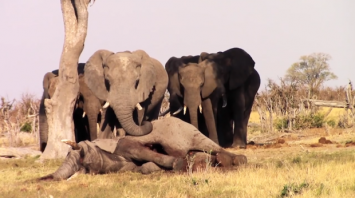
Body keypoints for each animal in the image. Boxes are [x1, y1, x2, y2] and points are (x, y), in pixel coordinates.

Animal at [36, 117, 248, 181]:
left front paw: (178, 164)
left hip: (184, 129)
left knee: (211, 146)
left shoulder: (123, 143)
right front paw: (185, 165)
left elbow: (133, 148)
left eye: (82, 156)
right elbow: (144, 167)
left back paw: (235, 160)